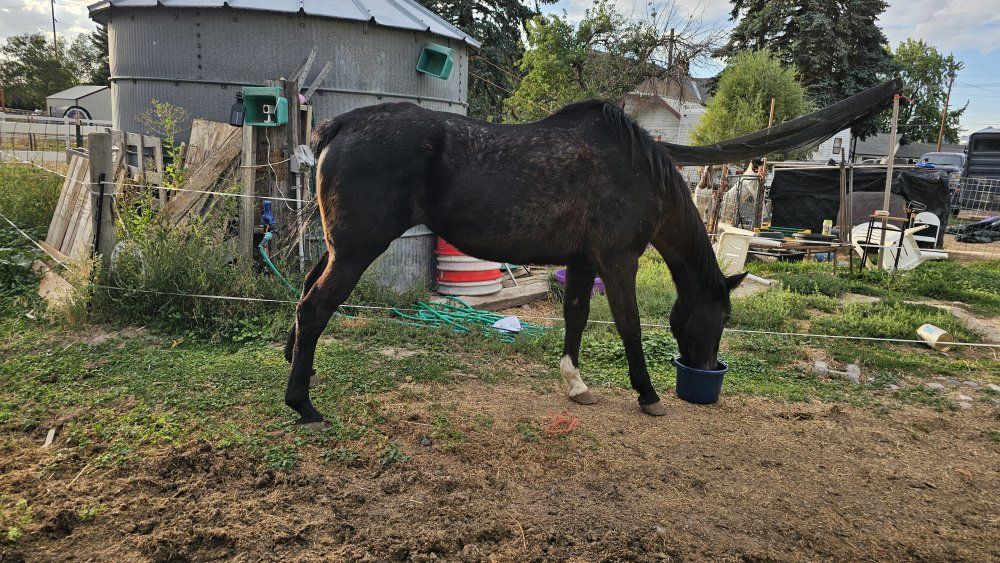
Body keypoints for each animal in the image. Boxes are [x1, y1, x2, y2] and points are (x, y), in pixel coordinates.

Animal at [283, 79, 902, 423]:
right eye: (721, 317)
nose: (705, 371)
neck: (640, 169)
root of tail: (341, 124)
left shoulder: (582, 262)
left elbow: (576, 317)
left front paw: (575, 384)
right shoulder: (618, 260)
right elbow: (628, 325)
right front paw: (648, 393)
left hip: (340, 247)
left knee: (305, 296)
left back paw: (292, 365)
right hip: (357, 250)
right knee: (315, 308)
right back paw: (302, 404)